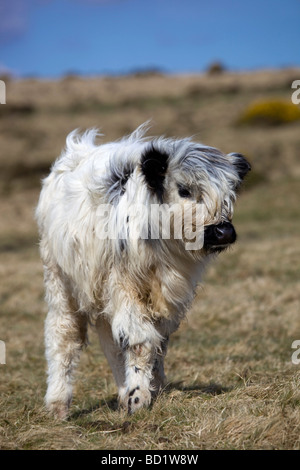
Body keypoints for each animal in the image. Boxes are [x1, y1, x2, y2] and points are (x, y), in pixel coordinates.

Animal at [35, 123, 251, 416]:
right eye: (184, 190)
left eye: (231, 193)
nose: (223, 231)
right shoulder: (124, 286)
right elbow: (139, 341)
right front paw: (138, 396)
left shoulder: (169, 298)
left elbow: (157, 343)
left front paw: (151, 387)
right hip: (60, 280)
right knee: (63, 334)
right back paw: (58, 404)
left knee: (111, 341)